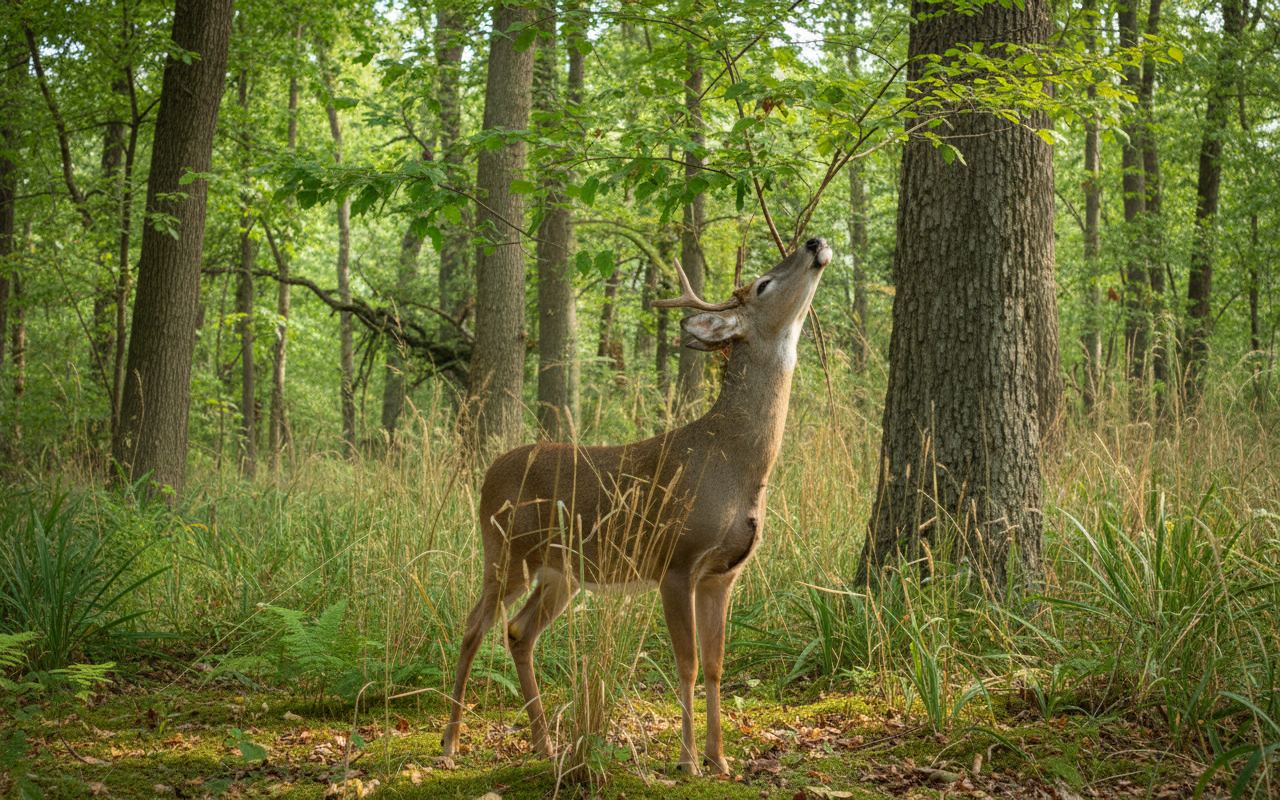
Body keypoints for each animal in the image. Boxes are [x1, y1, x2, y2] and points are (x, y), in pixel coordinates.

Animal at [442, 236, 834, 775]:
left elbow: (716, 664)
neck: (736, 466)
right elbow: (687, 663)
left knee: (518, 630)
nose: (816, 242)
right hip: (507, 551)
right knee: (472, 626)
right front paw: (689, 761)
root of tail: (487, 473)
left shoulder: (723, 573)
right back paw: (450, 744)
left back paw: (545, 744)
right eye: (763, 284)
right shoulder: (676, 560)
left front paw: (720, 759)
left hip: (561, 572)